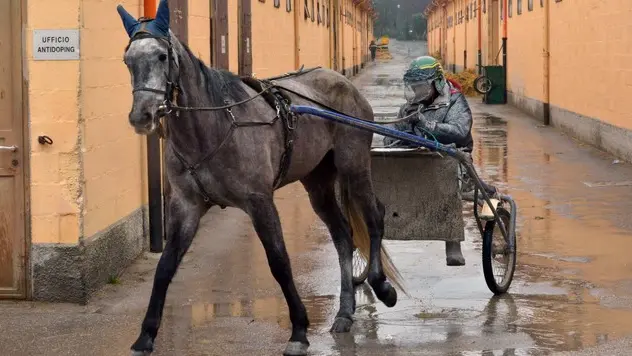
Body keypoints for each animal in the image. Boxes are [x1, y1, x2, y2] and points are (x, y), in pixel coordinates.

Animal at [117, 1, 404, 354]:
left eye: (161, 56)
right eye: (128, 59)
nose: (141, 115)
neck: (214, 127)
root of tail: (343, 82)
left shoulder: (260, 201)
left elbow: (279, 262)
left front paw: (299, 330)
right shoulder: (186, 206)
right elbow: (165, 267)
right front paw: (145, 335)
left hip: (354, 167)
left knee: (375, 217)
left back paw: (381, 285)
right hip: (318, 183)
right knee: (343, 236)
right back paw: (344, 312)